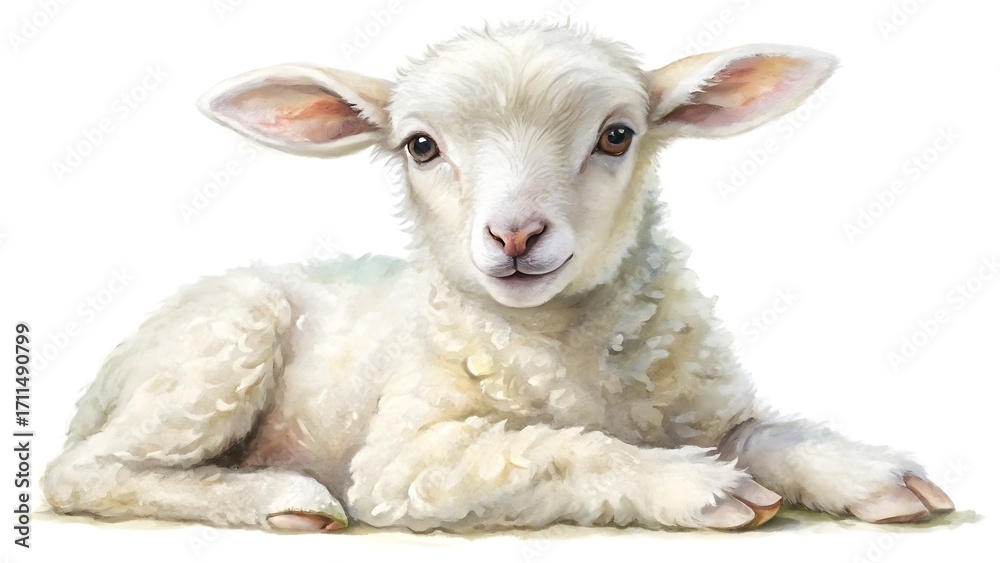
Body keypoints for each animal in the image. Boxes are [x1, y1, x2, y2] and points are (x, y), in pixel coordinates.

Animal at [42, 22, 955, 533]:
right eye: (420, 146)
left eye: (617, 135)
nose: (516, 233)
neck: (566, 350)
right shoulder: (405, 459)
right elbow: (549, 452)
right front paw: (692, 485)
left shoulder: (702, 405)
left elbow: (766, 433)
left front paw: (876, 474)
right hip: (220, 346)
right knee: (85, 471)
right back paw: (281, 496)